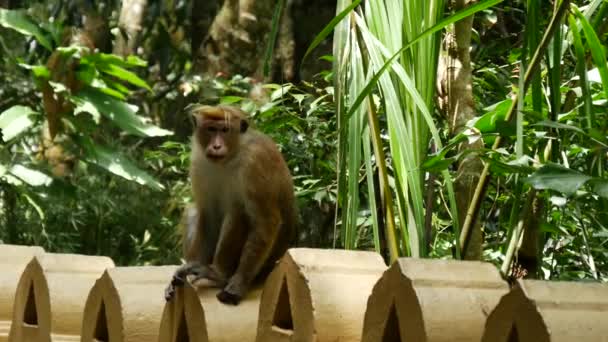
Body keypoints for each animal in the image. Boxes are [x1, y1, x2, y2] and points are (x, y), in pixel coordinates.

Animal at [165, 104, 298, 304]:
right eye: (211, 129)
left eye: (225, 130)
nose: (216, 146)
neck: (231, 156)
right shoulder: (198, 162)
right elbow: (208, 214)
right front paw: (194, 265)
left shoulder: (255, 162)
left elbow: (266, 221)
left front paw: (238, 283)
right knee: (193, 210)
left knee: (238, 212)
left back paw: (218, 274)